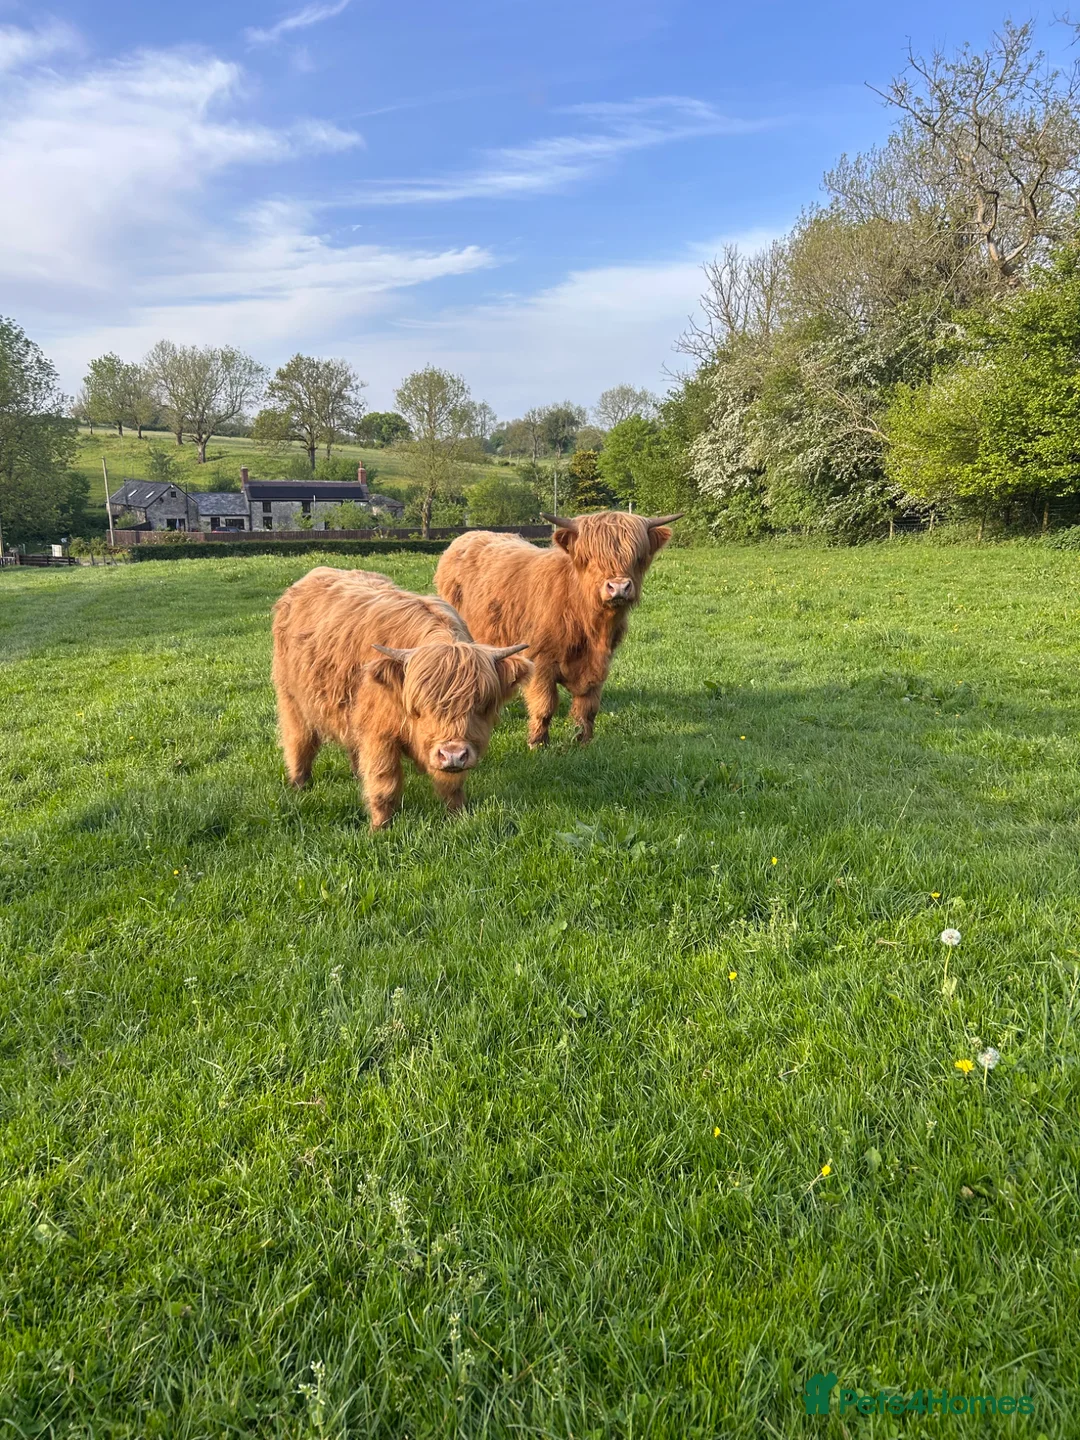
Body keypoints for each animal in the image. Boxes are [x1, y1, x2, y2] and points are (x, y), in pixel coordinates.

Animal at [271, 567, 531, 829]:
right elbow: (384, 783)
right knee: (299, 740)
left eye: (481, 704)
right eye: (421, 706)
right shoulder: (379, 736)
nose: (453, 755)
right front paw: (380, 828)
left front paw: (456, 816)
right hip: (291, 698)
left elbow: (452, 784)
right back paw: (299, 784)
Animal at [434, 509, 681, 748]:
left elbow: (588, 708)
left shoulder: (600, 664)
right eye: (590, 558)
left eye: (638, 558)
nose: (618, 587)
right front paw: (538, 743)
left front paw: (584, 742)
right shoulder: (540, 660)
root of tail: (469, 535)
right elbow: (545, 705)